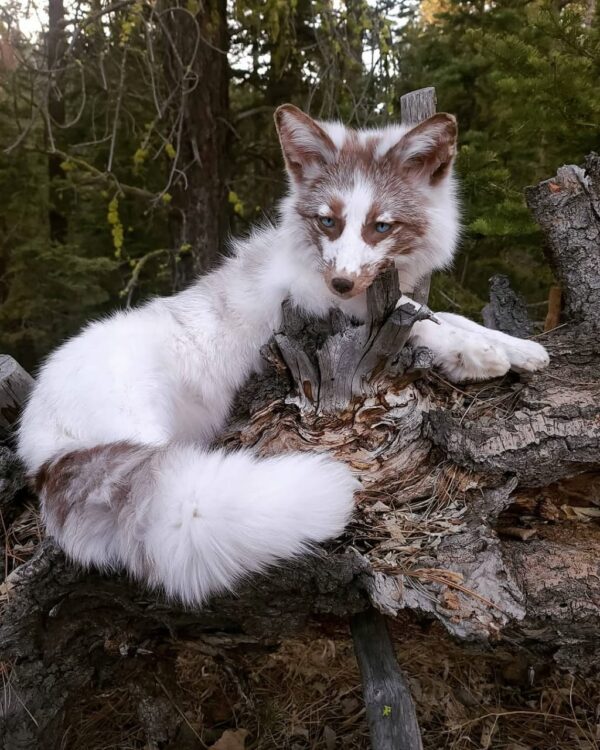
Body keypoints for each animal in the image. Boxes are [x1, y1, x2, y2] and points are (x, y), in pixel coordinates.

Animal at [17, 104, 549, 606]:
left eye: (381, 226)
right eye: (328, 221)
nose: (342, 281)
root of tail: (41, 445)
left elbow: (440, 314)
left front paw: (515, 348)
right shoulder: (321, 308)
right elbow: (424, 322)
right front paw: (476, 354)